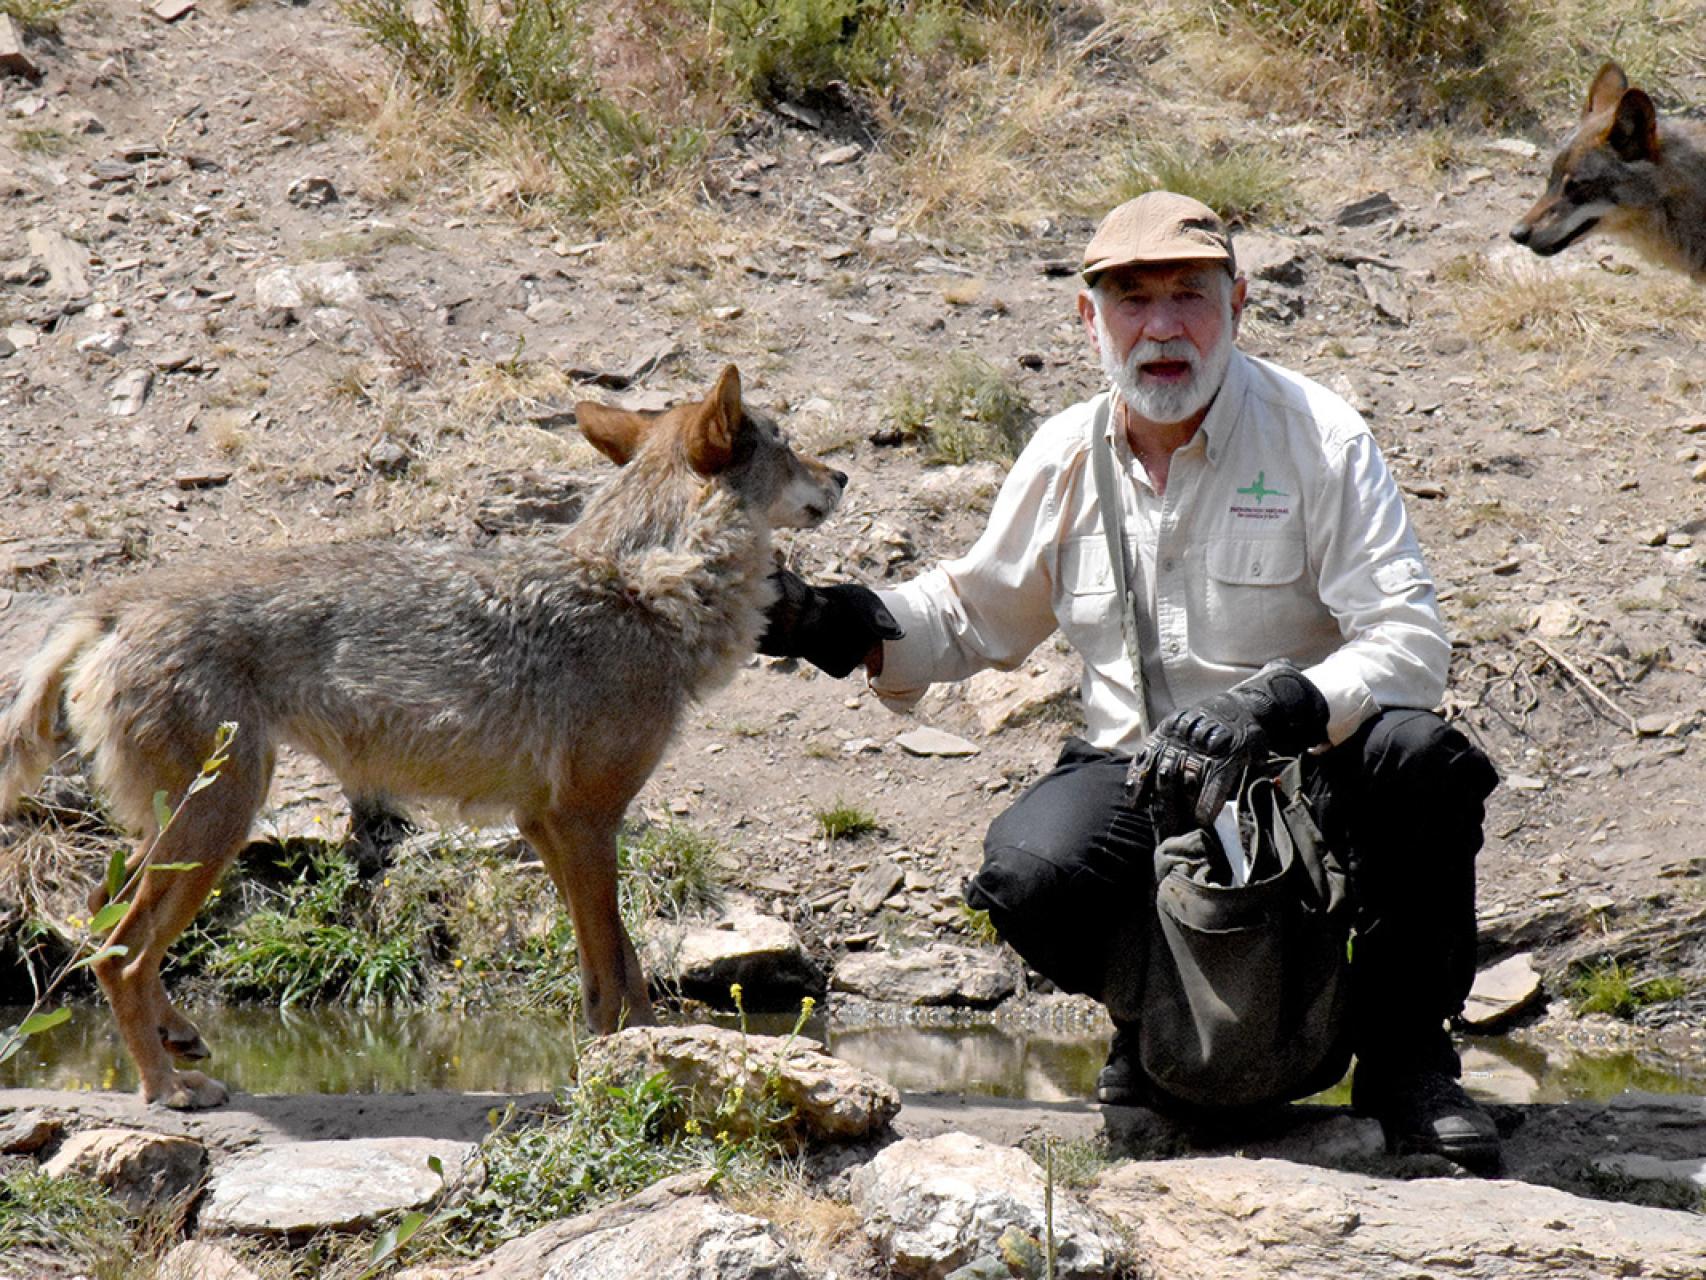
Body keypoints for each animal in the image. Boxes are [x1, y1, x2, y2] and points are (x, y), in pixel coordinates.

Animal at [0, 363, 846, 1112]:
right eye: (788, 443)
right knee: (122, 950)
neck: (642, 587)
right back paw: (166, 1090)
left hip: (186, 830)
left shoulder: (548, 825)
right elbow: (612, 968)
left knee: (99, 912)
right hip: (218, 825)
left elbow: (619, 968)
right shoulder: (586, 820)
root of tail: (113, 603)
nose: (842, 476)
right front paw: (628, 1071)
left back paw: (177, 1042)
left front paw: (638, 1054)